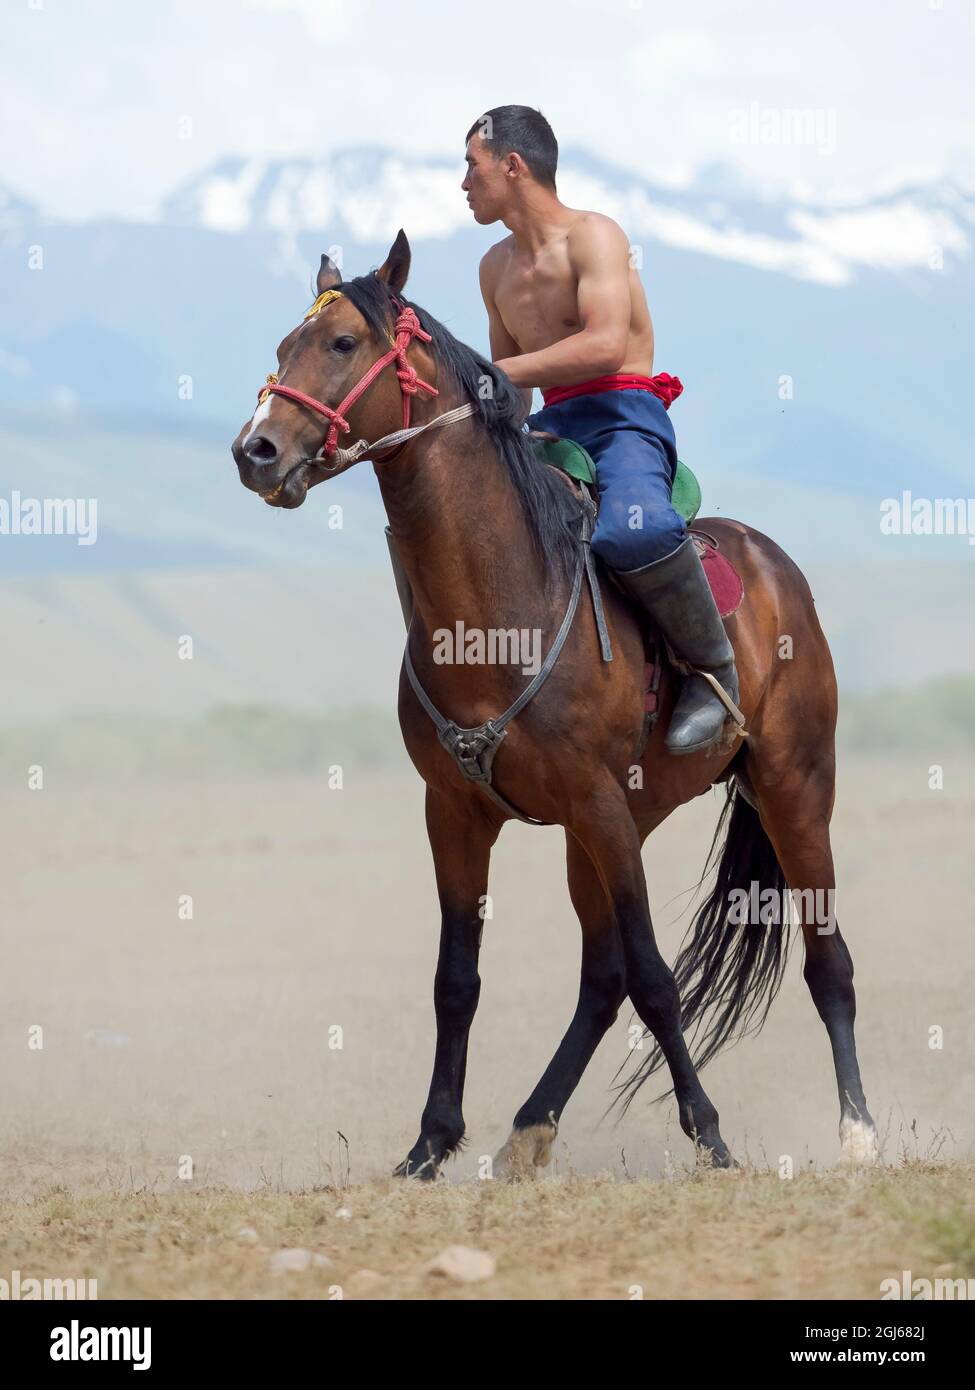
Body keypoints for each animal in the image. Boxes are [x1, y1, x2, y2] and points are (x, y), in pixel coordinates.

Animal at [231, 230, 878, 1178]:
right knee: (598, 981)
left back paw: (858, 1132)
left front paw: (710, 1134)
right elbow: (457, 981)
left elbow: (655, 977)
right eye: (284, 346)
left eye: (343, 343)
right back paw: (529, 1128)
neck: (499, 609)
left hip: (791, 789)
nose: (257, 451)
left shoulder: (597, 802)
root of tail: (769, 563)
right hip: (613, 829)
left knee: (824, 963)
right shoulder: (458, 813)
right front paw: (429, 1143)